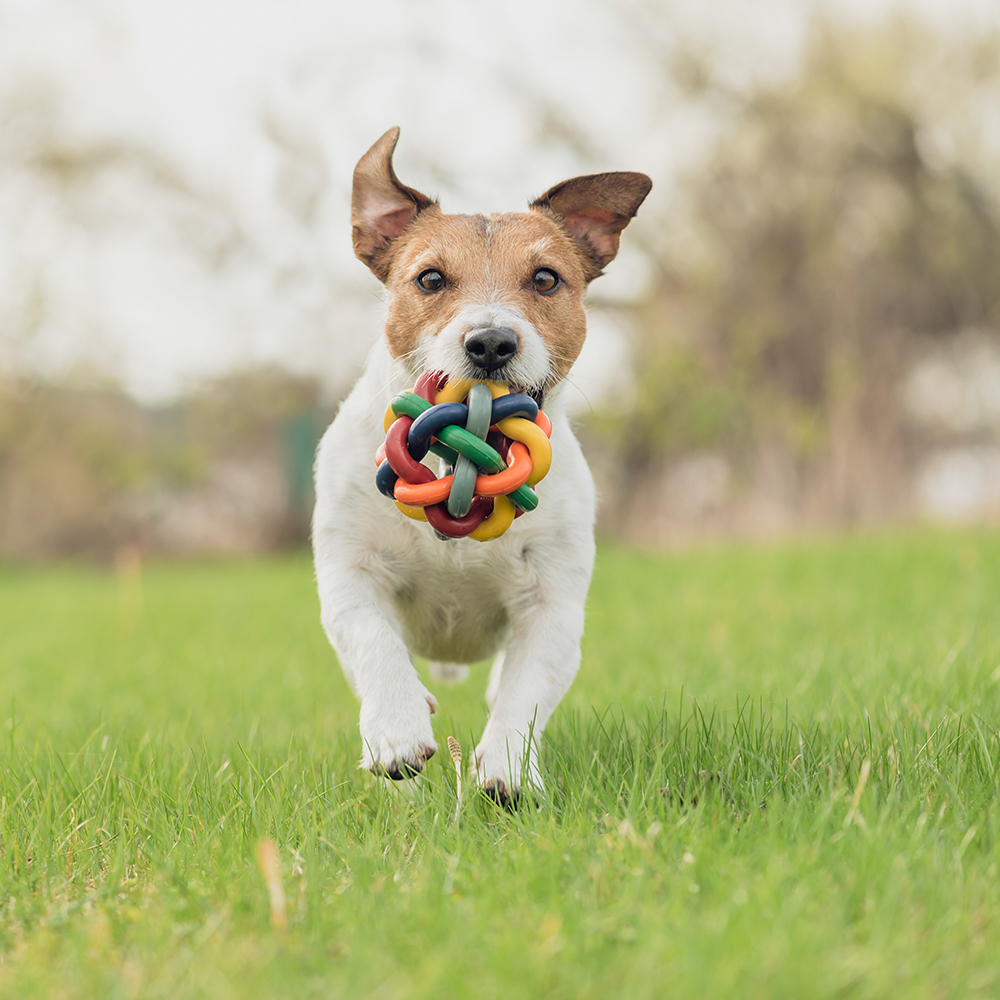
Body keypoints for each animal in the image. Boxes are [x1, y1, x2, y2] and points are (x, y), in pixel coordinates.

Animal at [316, 129, 652, 804]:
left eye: (546, 279)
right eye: (430, 278)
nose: (492, 342)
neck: (455, 468)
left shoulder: (551, 602)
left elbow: (525, 692)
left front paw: (508, 769)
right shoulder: (348, 571)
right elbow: (372, 641)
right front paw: (396, 731)